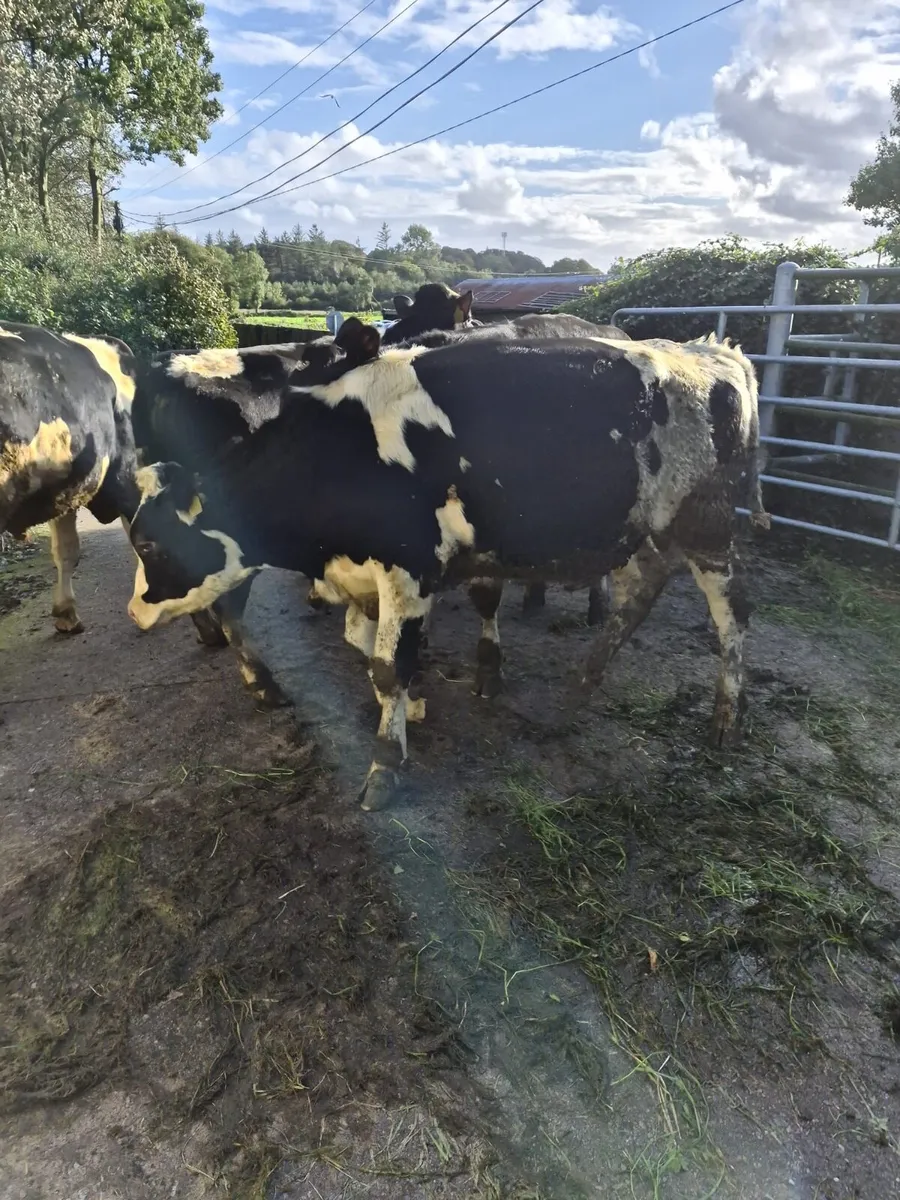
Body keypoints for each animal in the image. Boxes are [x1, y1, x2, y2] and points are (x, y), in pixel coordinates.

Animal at [124, 318, 767, 811]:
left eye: (149, 545)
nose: (134, 612)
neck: (341, 450)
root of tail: (713, 353)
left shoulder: (408, 569)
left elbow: (388, 666)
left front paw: (385, 766)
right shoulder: (366, 575)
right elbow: (366, 646)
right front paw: (414, 705)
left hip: (706, 526)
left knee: (731, 613)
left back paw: (727, 718)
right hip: (644, 529)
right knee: (641, 593)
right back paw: (576, 693)